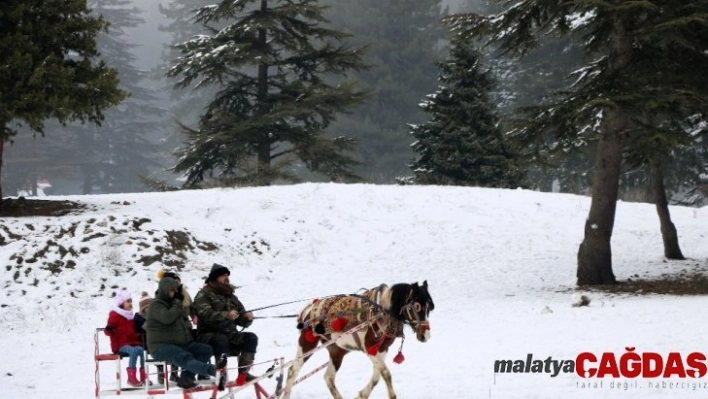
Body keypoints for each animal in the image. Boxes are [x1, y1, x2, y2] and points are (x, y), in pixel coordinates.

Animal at [280, 282, 434, 399]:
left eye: (429, 308)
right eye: (417, 306)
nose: (426, 335)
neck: (380, 313)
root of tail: (308, 309)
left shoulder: (381, 349)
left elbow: (377, 376)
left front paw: (362, 394)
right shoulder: (369, 348)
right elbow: (386, 373)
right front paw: (391, 395)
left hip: (337, 351)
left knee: (328, 377)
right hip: (307, 344)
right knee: (293, 371)